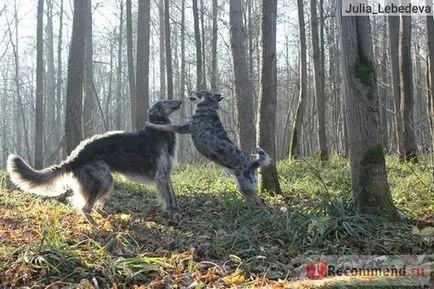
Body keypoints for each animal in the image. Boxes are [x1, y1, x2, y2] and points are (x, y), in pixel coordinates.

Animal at [8, 99, 181, 223]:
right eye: (165, 101)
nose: (180, 101)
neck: (159, 130)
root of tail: (75, 156)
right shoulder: (161, 175)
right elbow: (169, 199)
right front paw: (173, 218)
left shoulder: (166, 175)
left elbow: (173, 197)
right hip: (104, 180)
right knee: (84, 208)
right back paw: (97, 226)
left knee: (85, 204)